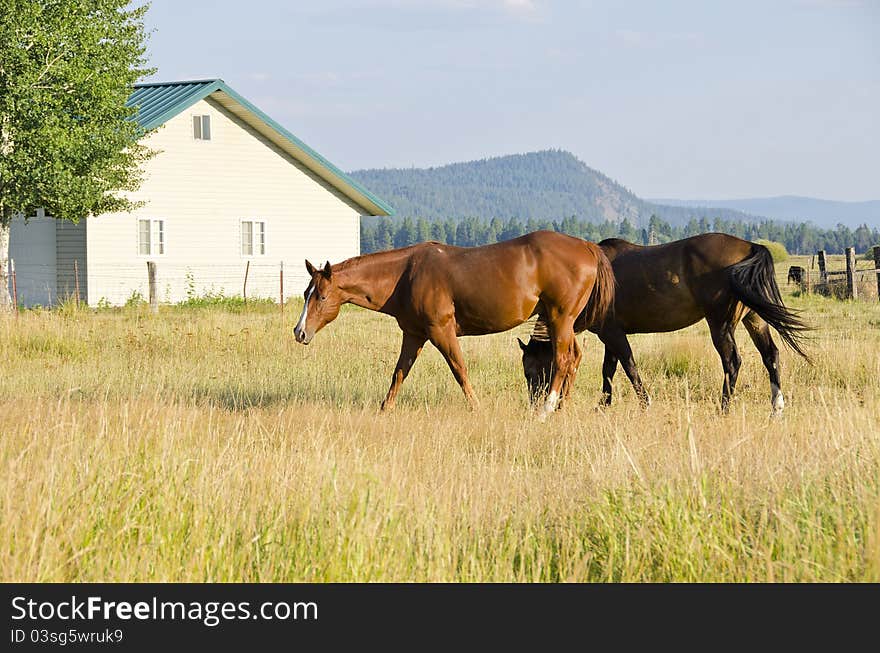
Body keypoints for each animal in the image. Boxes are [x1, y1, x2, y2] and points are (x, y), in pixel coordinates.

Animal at [294, 232, 612, 416]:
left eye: (321, 296)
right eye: (306, 293)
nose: (300, 332)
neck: (406, 274)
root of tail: (587, 246)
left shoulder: (441, 331)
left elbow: (459, 369)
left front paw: (476, 407)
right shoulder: (414, 335)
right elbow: (399, 373)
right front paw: (385, 409)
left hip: (560, 318)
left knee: (563, 360)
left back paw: (547, 409)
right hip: (563, 322)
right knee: (574, 358)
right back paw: (561, 407)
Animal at [520, 236, 808, 412]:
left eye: (530, 371)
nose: (535, 403)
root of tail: (749, 246)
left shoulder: (612, 334)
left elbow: (629, 367)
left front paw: (644, 403)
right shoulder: (609, 336)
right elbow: (608, 370)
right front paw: (603, 406)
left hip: (721, 324)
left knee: (732, 362)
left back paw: (724, 407)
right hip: (754, 319)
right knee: (771, 356)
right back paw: (776, 408)